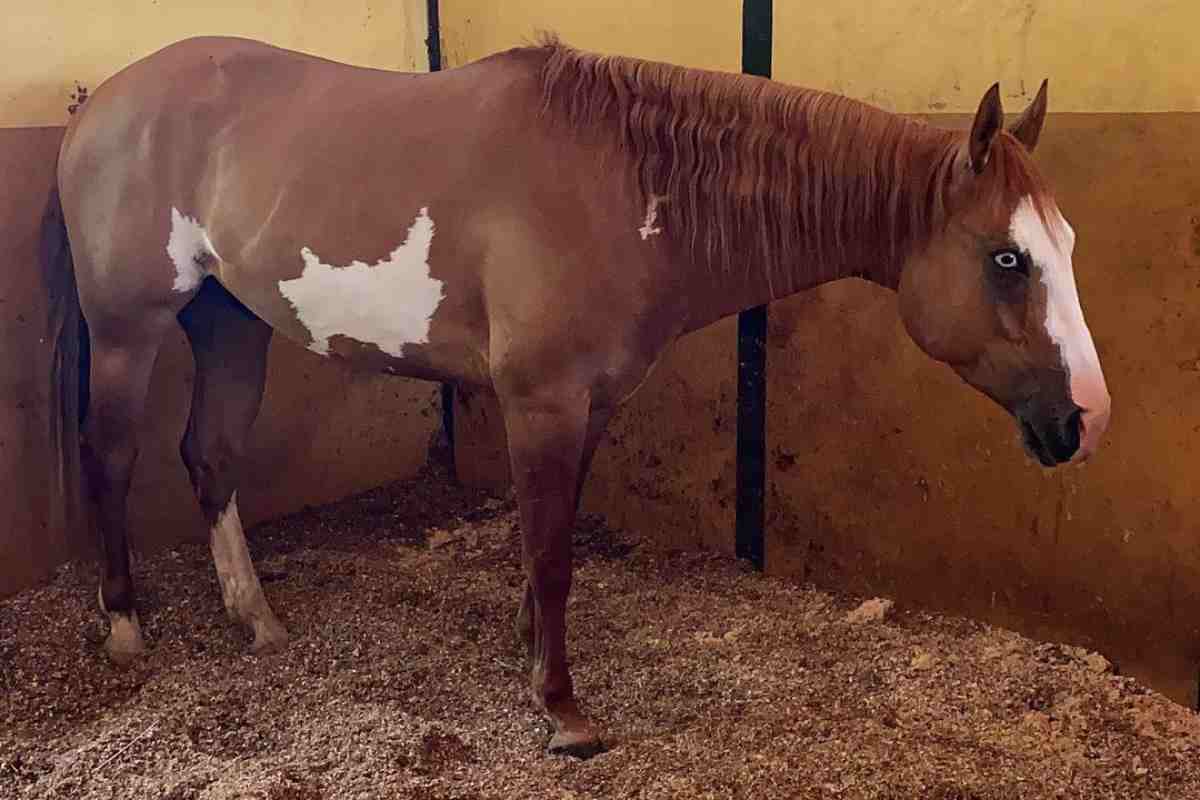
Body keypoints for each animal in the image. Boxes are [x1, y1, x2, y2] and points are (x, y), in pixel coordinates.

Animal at [41, 34, 1110, 758]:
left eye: (1065, 244)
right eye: (1007, 258)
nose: (1084, 420)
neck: (627, 189)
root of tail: (101, 103)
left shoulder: (590, 406)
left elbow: (546, 550)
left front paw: (529, 656)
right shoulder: (542, 404)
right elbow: (552, 555)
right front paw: (561, 712)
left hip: (230, 322)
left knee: (210, 458)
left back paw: (255, 619)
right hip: (131, 330)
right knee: (111, 456)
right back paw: (125, 627)